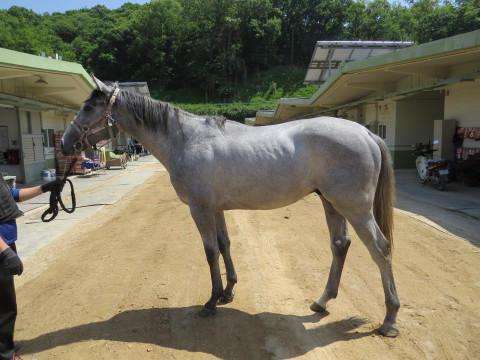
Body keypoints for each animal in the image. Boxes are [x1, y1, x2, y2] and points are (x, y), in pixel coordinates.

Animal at [62, 76, 400, 338]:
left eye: (88, 107)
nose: (65, 144)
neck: (186, 140)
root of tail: (367, 132)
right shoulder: (216, 209)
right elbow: (225, 244)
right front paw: (228, 291)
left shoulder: (199, 209)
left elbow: (210, 251)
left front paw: (212, 301)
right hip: (331, 202)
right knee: (340, 244)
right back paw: (322, 301)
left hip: (354, 208)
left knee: (380, 249)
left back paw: (390, 320)